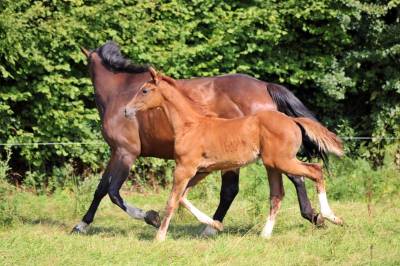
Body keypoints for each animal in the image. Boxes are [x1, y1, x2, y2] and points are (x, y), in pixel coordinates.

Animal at [126, 68, 344, 241]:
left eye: (144, 90)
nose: (126, 110)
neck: (191, 125)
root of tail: (292, 120)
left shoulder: (184, 169)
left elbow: (172, 200)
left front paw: (160, 237)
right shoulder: (201, 171)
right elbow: (183, 198)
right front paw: (215, 225)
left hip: (282, 161)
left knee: (315, 171)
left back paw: (331, 217)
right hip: (272, 164)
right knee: (277, 195)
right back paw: (265, 234)